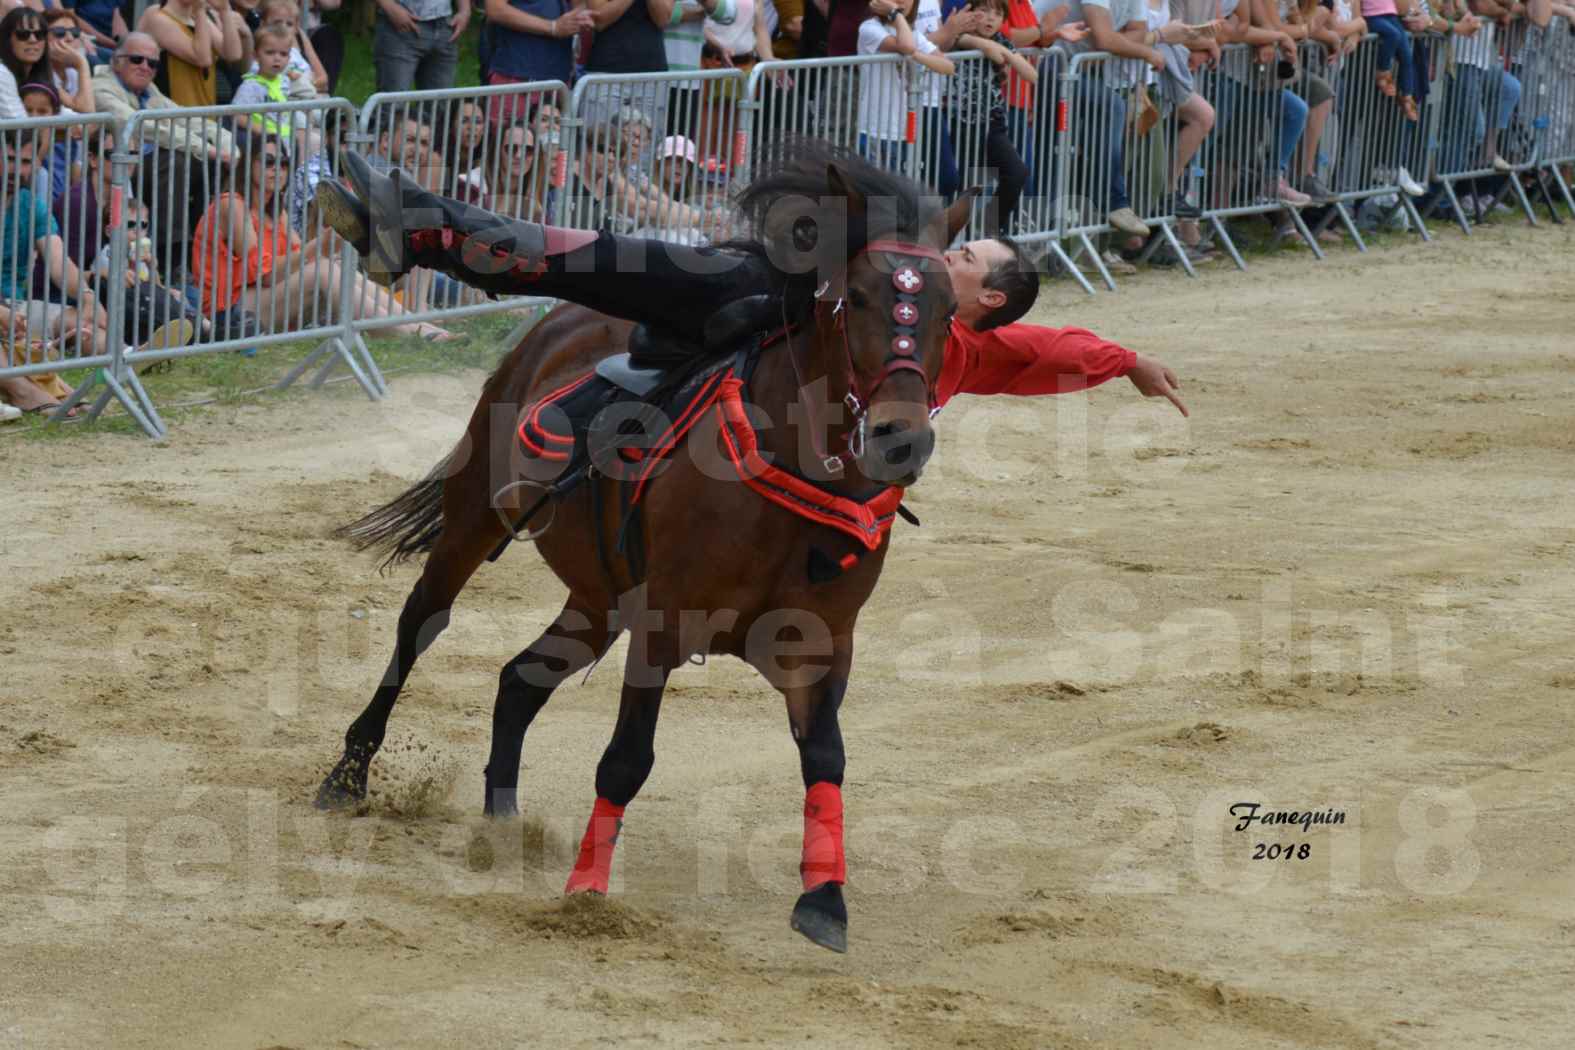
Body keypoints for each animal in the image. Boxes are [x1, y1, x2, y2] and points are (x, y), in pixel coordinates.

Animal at [311, 147, 970, 950]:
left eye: (950, 310)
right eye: (862, 299)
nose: (901, 439)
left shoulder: (822, 641)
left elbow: (827, 758)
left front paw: (824, 899)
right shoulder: (661, 624)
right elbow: (626, 760)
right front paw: (587, 891)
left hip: (599, 596)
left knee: (520, 679)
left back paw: (502, 820)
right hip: (475, 518)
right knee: (419, 627)